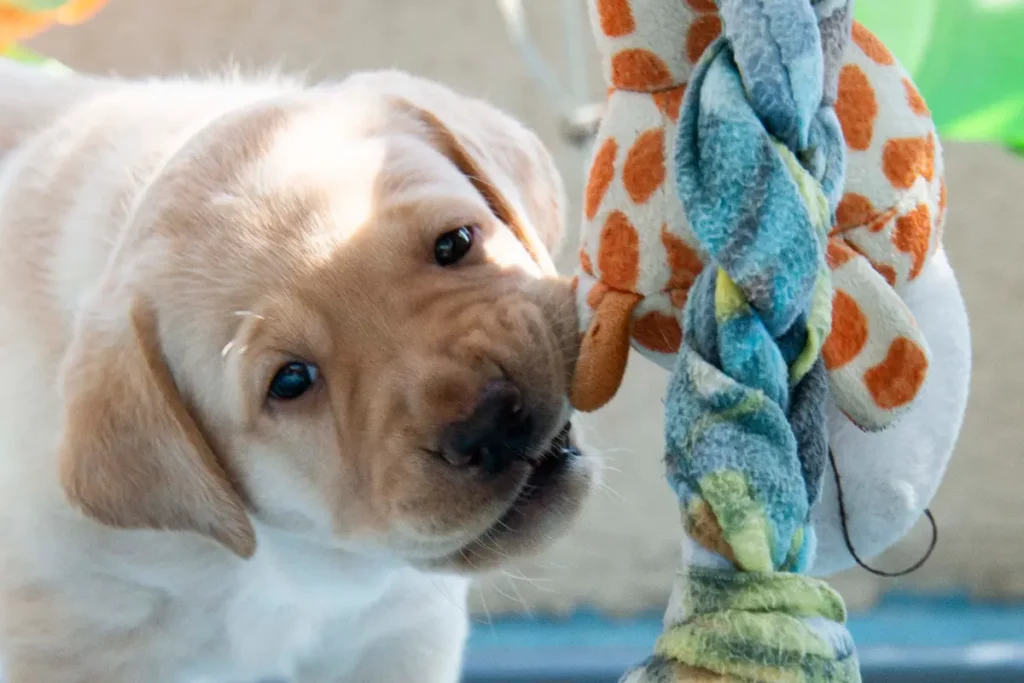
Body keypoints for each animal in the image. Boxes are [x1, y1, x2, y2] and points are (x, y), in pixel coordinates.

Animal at [0, 60, 598, 683]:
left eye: (454, 243)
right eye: (290, 381)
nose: (490, 422)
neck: (289, 565)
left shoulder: (399, 632)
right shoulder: (72, 645)